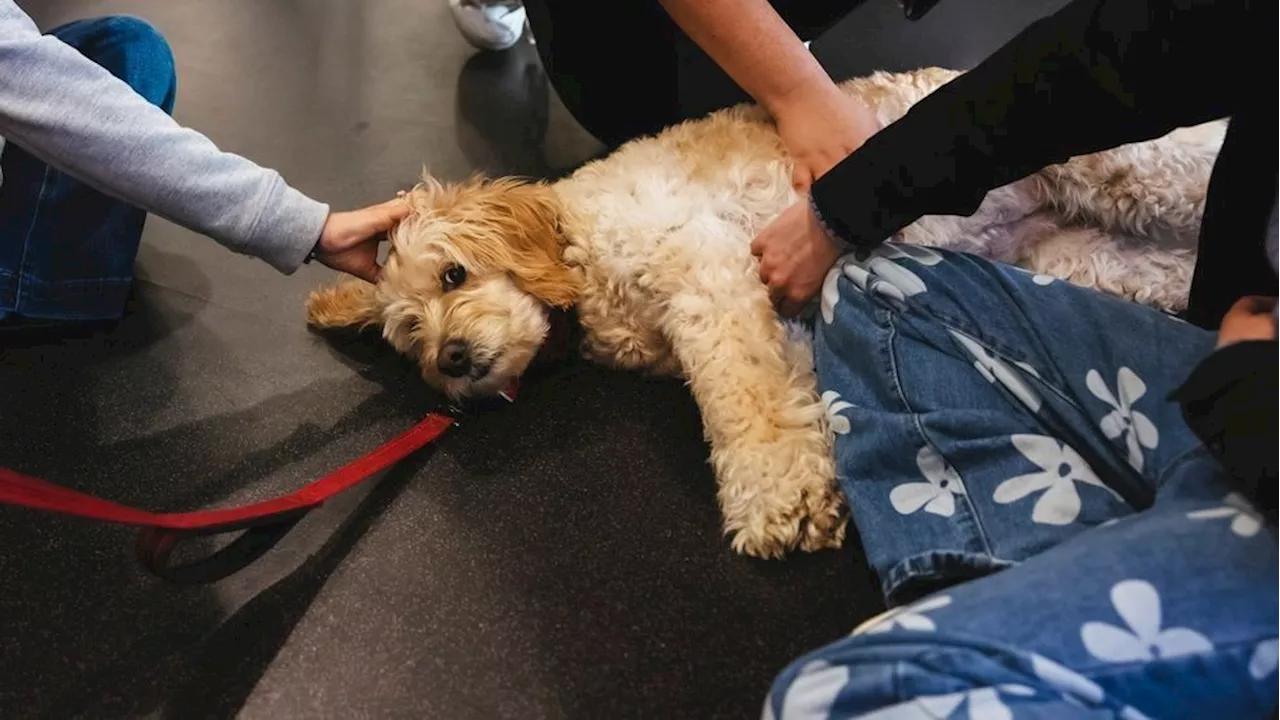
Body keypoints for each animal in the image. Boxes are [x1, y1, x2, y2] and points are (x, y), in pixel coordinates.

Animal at [304, 67, 1223, 558]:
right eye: (410, 337)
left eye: (454, 274)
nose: (450, 363)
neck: (575, 253)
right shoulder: (782, 320)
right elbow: (785, 395)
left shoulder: (707, 271)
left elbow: (740, 399)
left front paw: (777, 502)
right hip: (1070, 250)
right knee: (1166, 267)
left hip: (1120, 168)